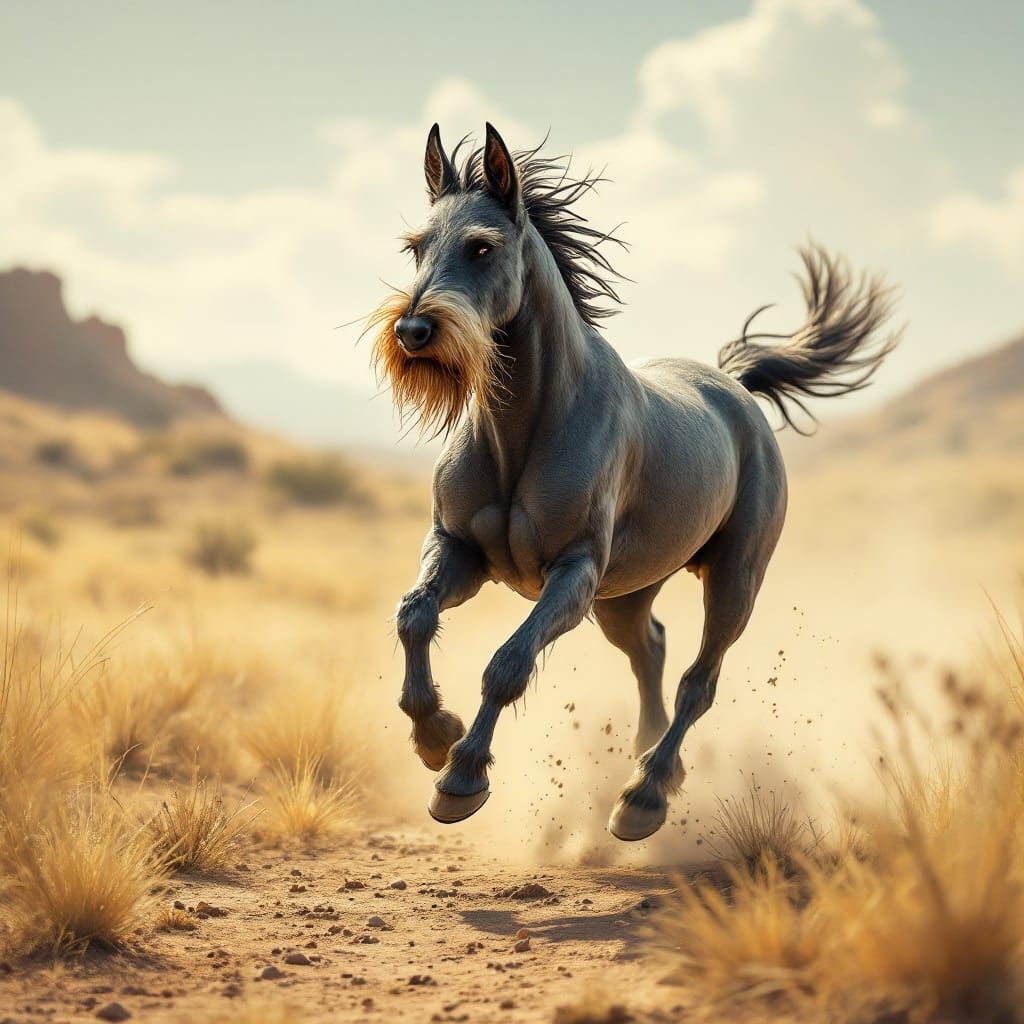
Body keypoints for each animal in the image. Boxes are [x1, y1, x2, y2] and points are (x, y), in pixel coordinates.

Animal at [368, 123, 898, 841]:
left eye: (481, 247)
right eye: (416, 247)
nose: (413, 331)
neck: (526, 428)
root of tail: (738, 388)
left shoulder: (574, 574)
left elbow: (508, 664)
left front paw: (462, 776)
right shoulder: (459, 550)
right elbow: (414, 616)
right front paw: (433, 734)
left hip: (733, 579)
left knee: (699, 681)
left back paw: (644, 796)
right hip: (626, 596)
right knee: (651, 650)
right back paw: (649, 761)